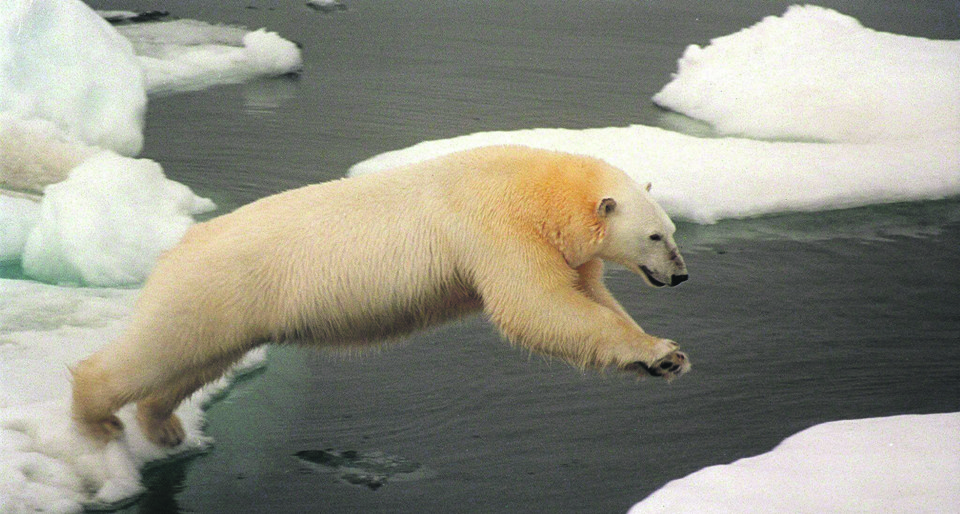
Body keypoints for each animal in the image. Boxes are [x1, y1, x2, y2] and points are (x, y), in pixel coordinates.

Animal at [71, 145, 690, 447]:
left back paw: (163, 425)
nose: (681, 276)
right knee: (157, 350)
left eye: (672, 230)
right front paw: (660, 351)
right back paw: (97, 418)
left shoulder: (561, 246)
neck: (540, 187)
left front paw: (666, 357)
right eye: (655, 236)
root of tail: (174, 248)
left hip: (227, 308)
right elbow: (535, 306)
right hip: (214, 286)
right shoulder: (496, 226)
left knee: (194, 362)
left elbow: (585, 297)